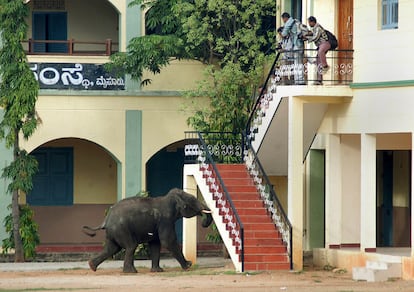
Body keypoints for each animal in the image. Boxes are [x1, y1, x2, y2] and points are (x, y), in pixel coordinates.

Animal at [81, 188, 213, 272]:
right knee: (130, 246)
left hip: (114, 232)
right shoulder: (166, 220)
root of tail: (106, 219)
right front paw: (188, 266)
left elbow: (155, 243)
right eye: (193, 200)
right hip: (121, 229)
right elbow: (168, 241)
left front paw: (158, 271)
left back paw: (92, 266)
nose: (204, 223)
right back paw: (131, 272)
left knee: (112, 248)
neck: (168, 198)